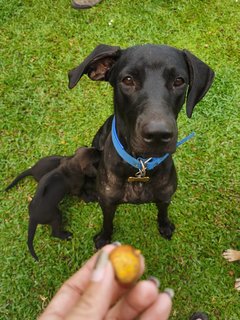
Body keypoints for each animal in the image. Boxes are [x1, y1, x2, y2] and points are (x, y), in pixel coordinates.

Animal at [68, 43, 215, 249]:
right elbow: (107, 222)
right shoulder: (108, 203)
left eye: (179, 81)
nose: (158, 134)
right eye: (128, 80)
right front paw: (104, 239)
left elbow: (162, 213)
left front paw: (165, 226)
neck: (140, 165)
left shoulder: (165, 197)